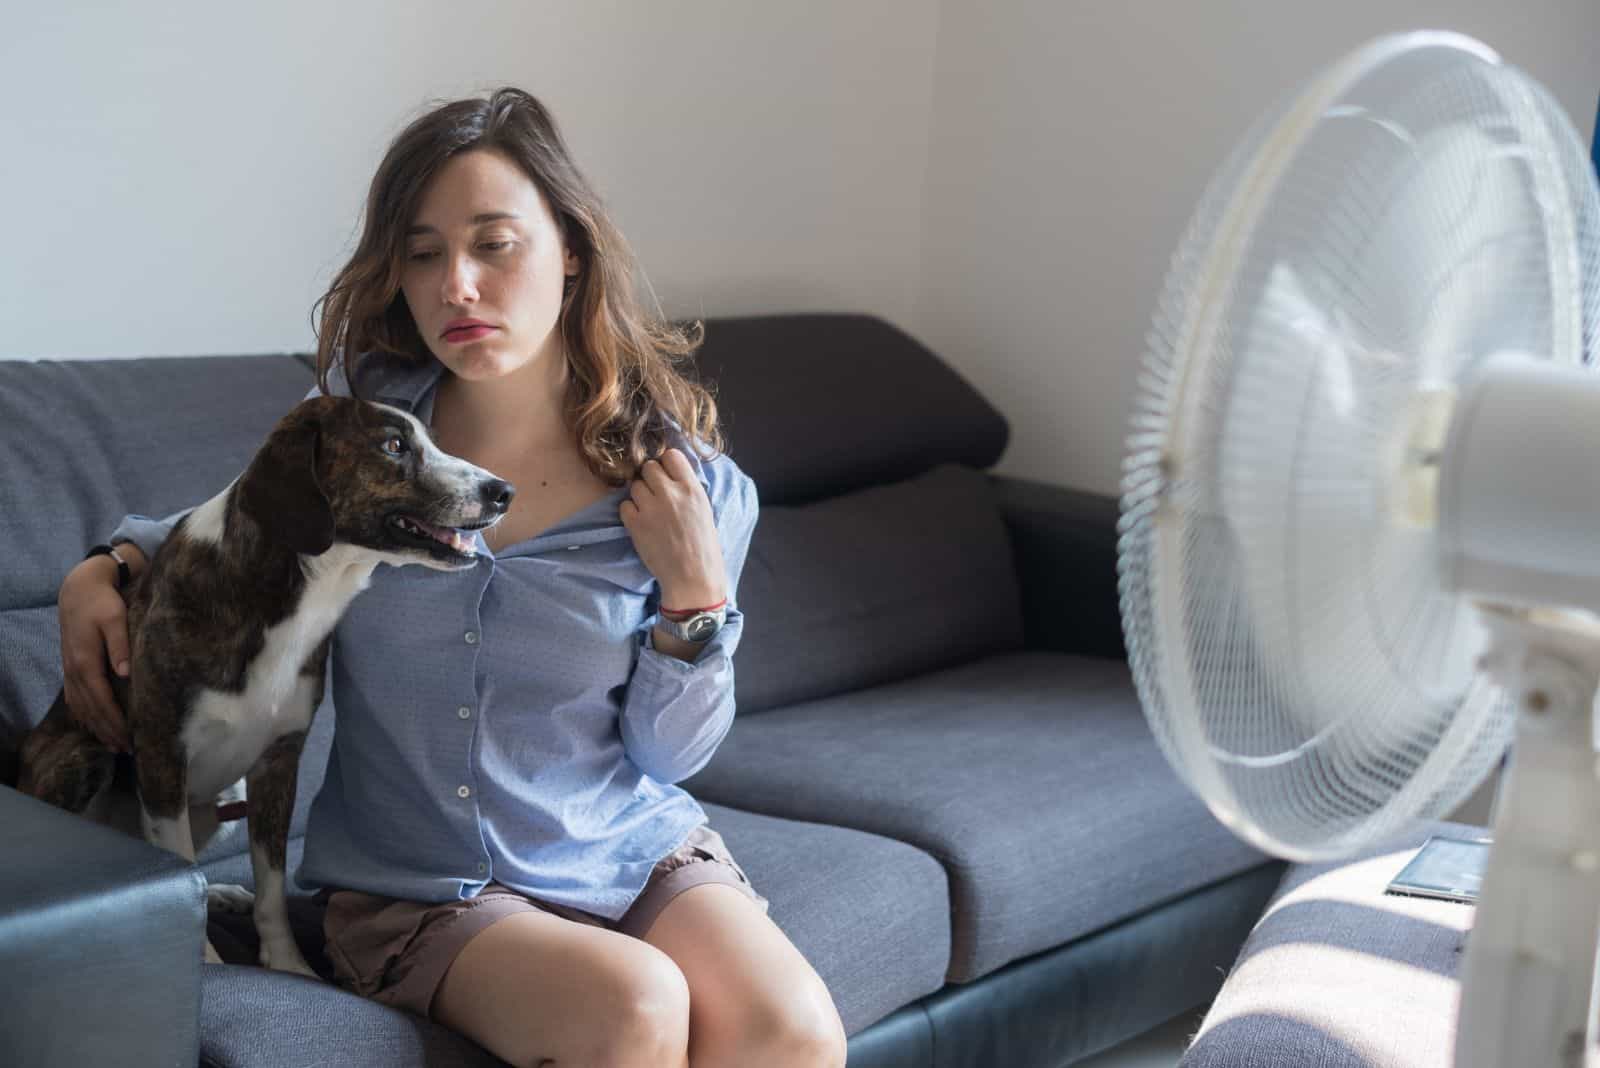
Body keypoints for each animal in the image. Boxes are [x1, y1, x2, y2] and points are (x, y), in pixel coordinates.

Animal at [3, 394, 508, 978]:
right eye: (393, 445)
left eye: (432, 440)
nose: (504, 491)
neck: (296, 591)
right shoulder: (162, 754)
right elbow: (178, 862)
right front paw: (204, 957)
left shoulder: (277, 764)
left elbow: (270, 885)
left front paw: (287, 964)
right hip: (86, 758)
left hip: (225, 801)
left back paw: (222, 893)